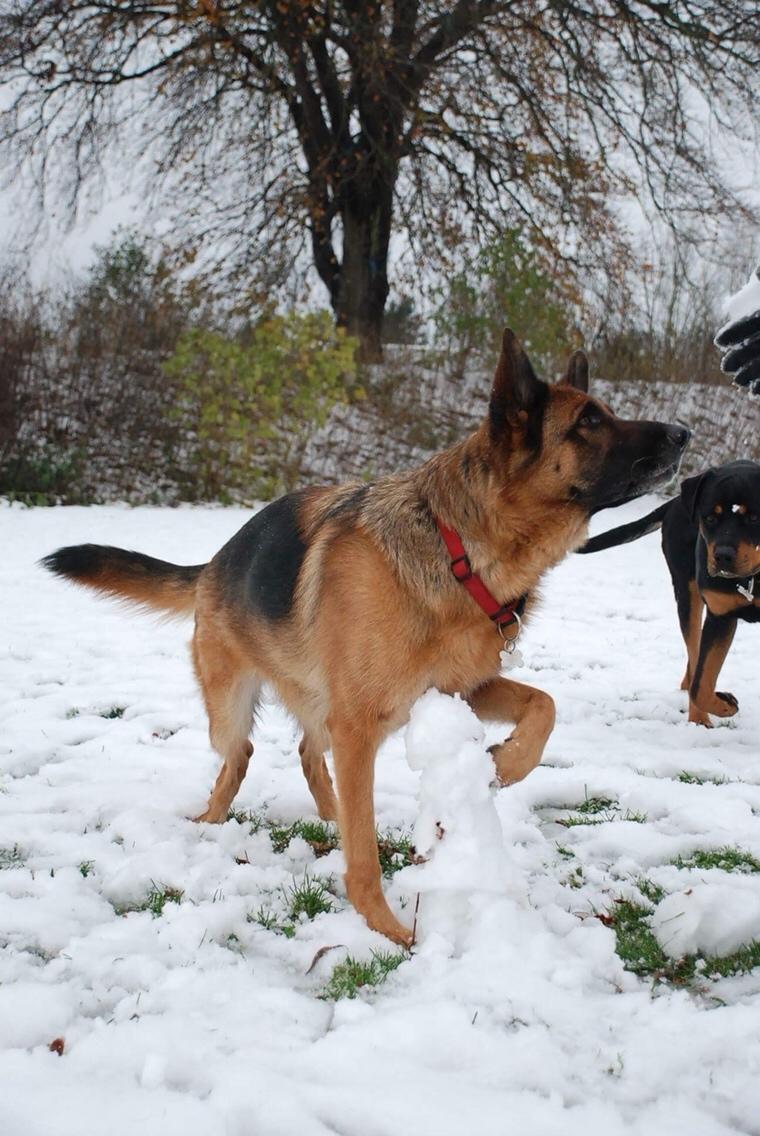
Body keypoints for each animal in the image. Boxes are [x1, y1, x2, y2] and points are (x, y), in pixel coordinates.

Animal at [44, 331, 690, 949]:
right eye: (589, 421)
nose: (684, 434)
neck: (458, 550)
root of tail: (213, 564)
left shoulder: (457, 691)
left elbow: (544, 705)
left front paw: (504, 764)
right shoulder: (358, 727)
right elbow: (365, 852)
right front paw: (384, 928)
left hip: (316, 703)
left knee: (308, 755)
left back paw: (329, 816)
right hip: (231, 708)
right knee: (240, 755)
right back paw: (209, 822)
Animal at [581, 461, 758, 727]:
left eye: (754, 517)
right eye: (709, 518)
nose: (722, 556)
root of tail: (676, 501)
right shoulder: (720, 615)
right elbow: (701, 684)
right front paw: (726, 704)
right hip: (687, 592)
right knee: (694, 665)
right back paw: (699, 719)